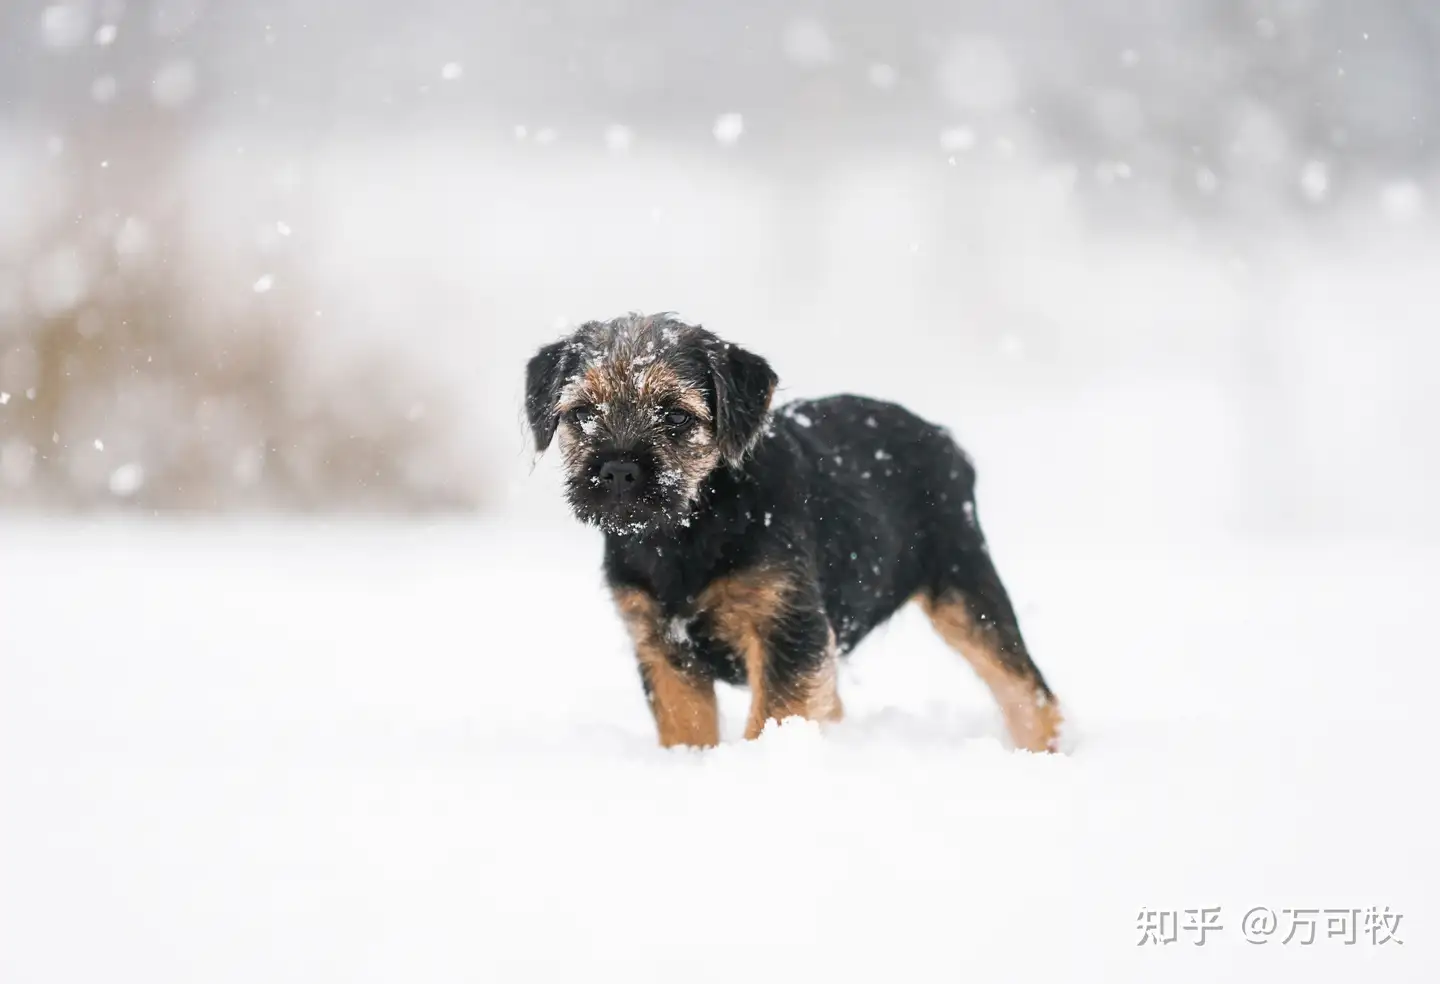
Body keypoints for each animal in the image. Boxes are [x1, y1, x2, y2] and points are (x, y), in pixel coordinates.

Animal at [524, 315, 1065, 754]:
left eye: (675, 414)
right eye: (582, 413)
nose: (617, 470)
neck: (688, 530)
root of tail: (944, 439)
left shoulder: (787, 629)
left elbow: (775, 715)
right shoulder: (662, 648)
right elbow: (687, 726)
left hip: (964, 585)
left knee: (1026, 689)